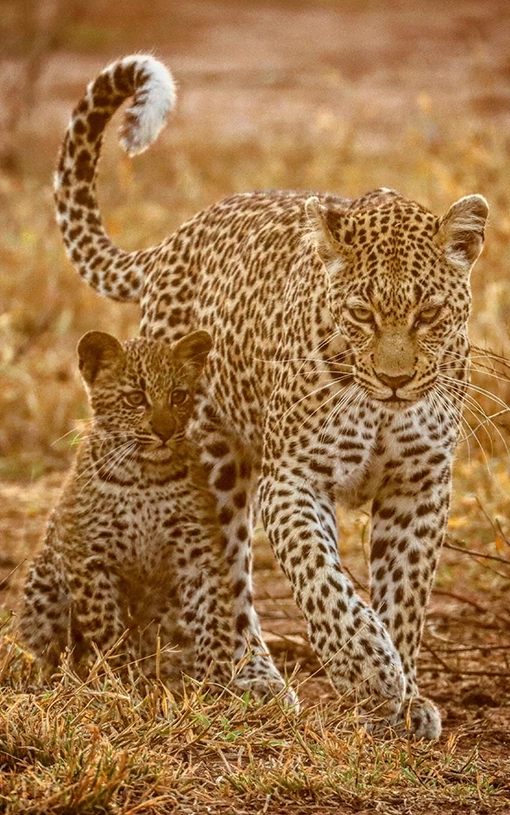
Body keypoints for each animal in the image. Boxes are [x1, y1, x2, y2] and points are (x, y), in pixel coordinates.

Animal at [20, 327, 288, 697]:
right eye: (135, 398)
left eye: (178, 395)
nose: (164, 431)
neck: (145, 476)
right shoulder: (89, 558)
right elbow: (107, 625)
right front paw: (123, 679)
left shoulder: (198, 555)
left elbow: (213, 616)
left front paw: (218, 681)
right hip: (44, 582)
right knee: (52, 648)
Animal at [53, 54, 489, 738]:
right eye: (361, 314)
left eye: (428, 314)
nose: (395, 380)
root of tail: (176, 239)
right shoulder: (293, 481)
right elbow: (322, 579)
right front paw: (368, 671)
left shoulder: (420, 485)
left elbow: (405, 595)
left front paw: (405, 695)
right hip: (212, 467)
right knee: (226, 583)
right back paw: (250, 677)